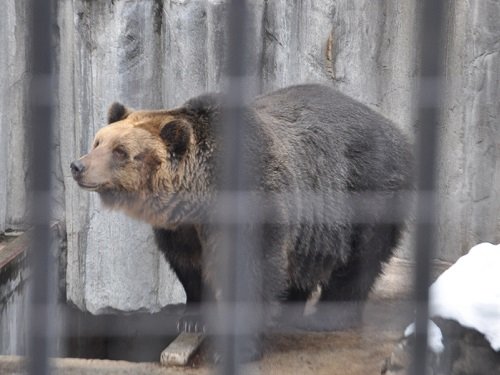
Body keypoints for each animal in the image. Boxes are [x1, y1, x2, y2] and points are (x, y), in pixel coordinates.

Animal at [71, 83, 414, 362]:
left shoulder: (253, 202)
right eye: (98, 142)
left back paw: (329, 316)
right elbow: (190, 267)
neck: (200, 194)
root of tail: (394, 129)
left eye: (121, 151)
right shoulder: (183, 228)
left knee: (359, 260)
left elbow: (254, 271)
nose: (77, 165)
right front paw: (193, 317)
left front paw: (236, 348)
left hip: (366, 189)